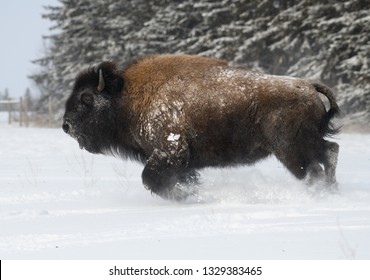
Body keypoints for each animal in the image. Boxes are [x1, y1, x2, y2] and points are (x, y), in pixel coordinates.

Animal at [62, 54, 340, 199]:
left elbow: (150, 179)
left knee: (314, 167)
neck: (126, 97)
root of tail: (309, 86)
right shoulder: (180, 160)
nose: (66, 125)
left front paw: (184, 196)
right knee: (330, 151)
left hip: (291, 149)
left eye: (86, 98)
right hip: (307, 143)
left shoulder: (169, 150)